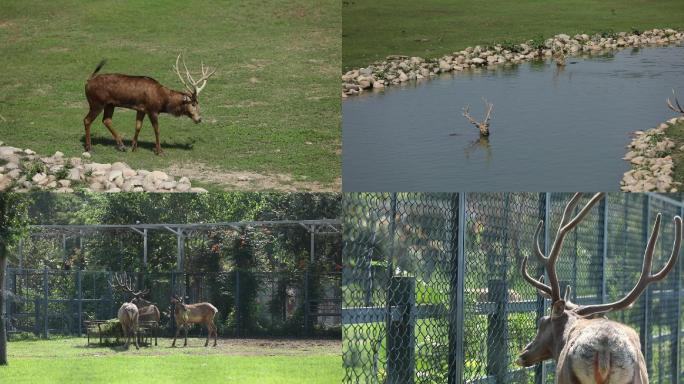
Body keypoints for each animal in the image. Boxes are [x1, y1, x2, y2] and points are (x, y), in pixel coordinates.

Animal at [83, 53, 216, 154]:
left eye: (198, 103)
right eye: (193, 104)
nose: (199, 119)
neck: (163, 101)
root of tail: (87, 82)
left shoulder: (141, 109)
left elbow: (138, 126)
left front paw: (134, 147)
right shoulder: (153, 110)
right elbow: (157, 129)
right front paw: (159, 151)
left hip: (110, 104)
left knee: (106, 120)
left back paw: (121, 145)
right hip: (96, 103)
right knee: (87, 120)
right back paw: (89, 147)